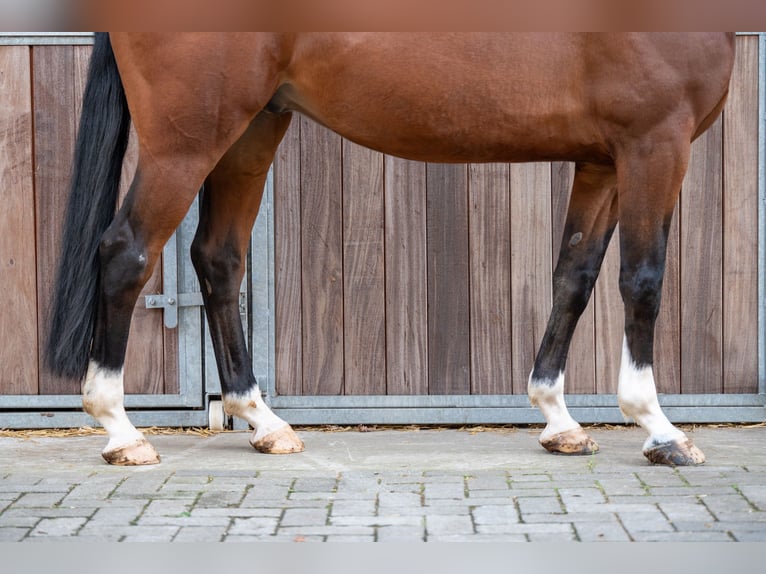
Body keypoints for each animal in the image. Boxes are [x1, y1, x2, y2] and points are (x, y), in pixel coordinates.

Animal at [43, 31, 736, 468]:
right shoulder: (654, 143)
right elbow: (642, 281)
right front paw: (660, 431)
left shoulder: (602, 161)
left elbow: (575, 276)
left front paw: (559, 421)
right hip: (187, 142)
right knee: (126, 254)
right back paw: (121, 431)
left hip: (252, 129)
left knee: (219, 259)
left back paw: (263, 422)